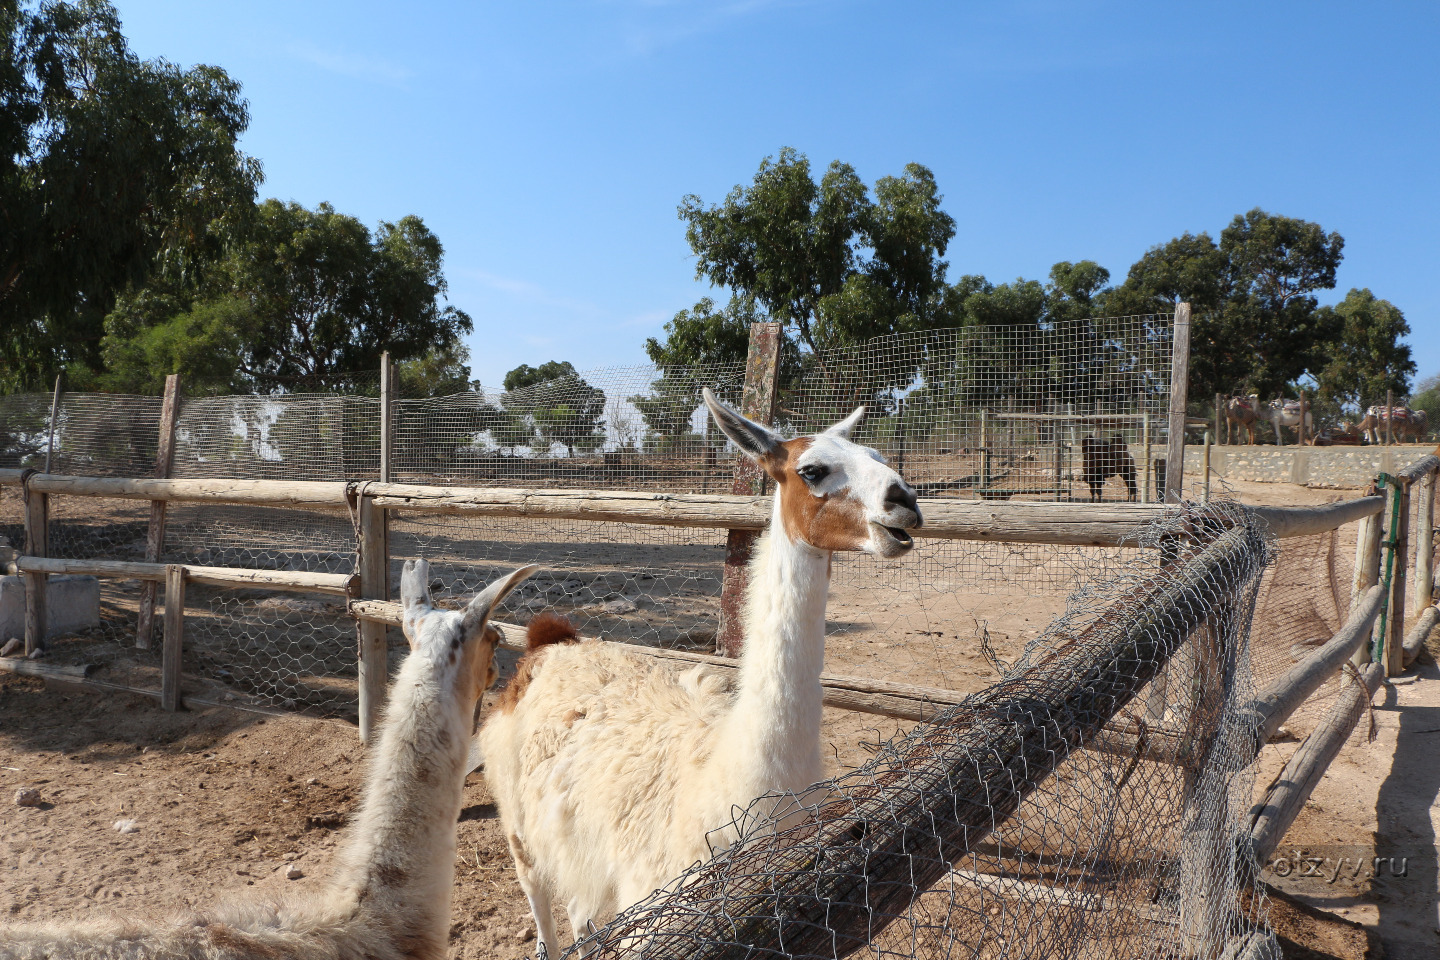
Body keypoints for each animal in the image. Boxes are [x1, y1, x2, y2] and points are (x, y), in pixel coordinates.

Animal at [478, 385, 915, 955]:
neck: (727, 784)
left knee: (579, 910)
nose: (906, 503)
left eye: (882, 457)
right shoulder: (657, 915)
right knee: (540, 902)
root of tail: (549, 641)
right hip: (517, 815)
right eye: (812, 470)